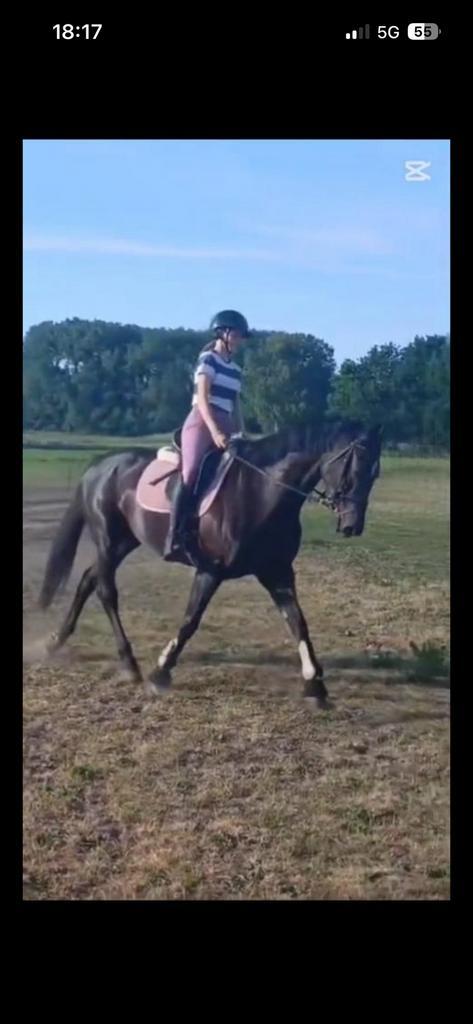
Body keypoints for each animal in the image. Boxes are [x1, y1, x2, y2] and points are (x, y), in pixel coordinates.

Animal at [38, 419, 382, 705]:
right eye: (354, 467)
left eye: (375, 473)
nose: (352, 526)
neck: (261, 491)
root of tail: (100, 464)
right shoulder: (210, 570)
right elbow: (191, 620)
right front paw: (160, 673)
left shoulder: (278, 572)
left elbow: (298, 622)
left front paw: (315, 685)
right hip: (108, 540)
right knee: (106, 591)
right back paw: (128, 663)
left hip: (125, 541)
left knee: (88, 579)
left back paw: (55, 641)